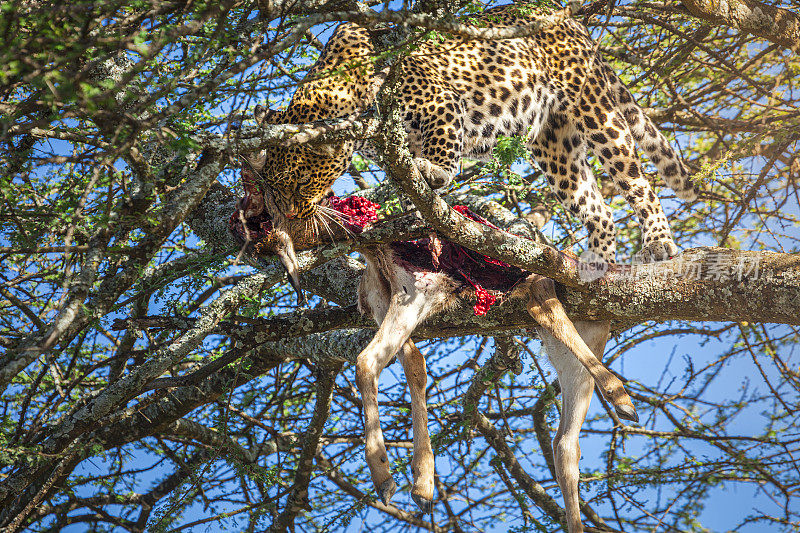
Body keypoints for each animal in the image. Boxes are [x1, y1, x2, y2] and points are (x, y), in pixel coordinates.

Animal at [241, 4, 696, 282]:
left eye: (302, 185)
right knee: (597, 207)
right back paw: (598, 263)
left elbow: (442, 145)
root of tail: (566, 18)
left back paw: (659, 243)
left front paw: (437, 173)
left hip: (594, 109)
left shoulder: (438, 102)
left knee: (639, 183)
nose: (292, 216)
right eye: (274, 192)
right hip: (555, 145)